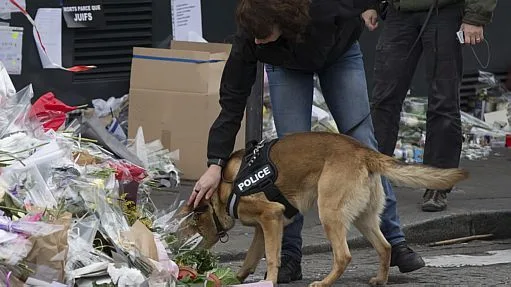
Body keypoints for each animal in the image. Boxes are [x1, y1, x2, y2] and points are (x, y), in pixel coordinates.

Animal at [187, 132, 468, 286]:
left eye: (194, 226)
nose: (192, 254)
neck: (226, 185)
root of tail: (364, 152)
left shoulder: (271, 217)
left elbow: (272, 258)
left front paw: (270, 280)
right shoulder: (263, 227)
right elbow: (250, 258)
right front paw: (235, 279)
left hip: (330, 213)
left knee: (344, 255)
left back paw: (324, 283)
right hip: (364, 217)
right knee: (385, 246)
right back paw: (381, 279)